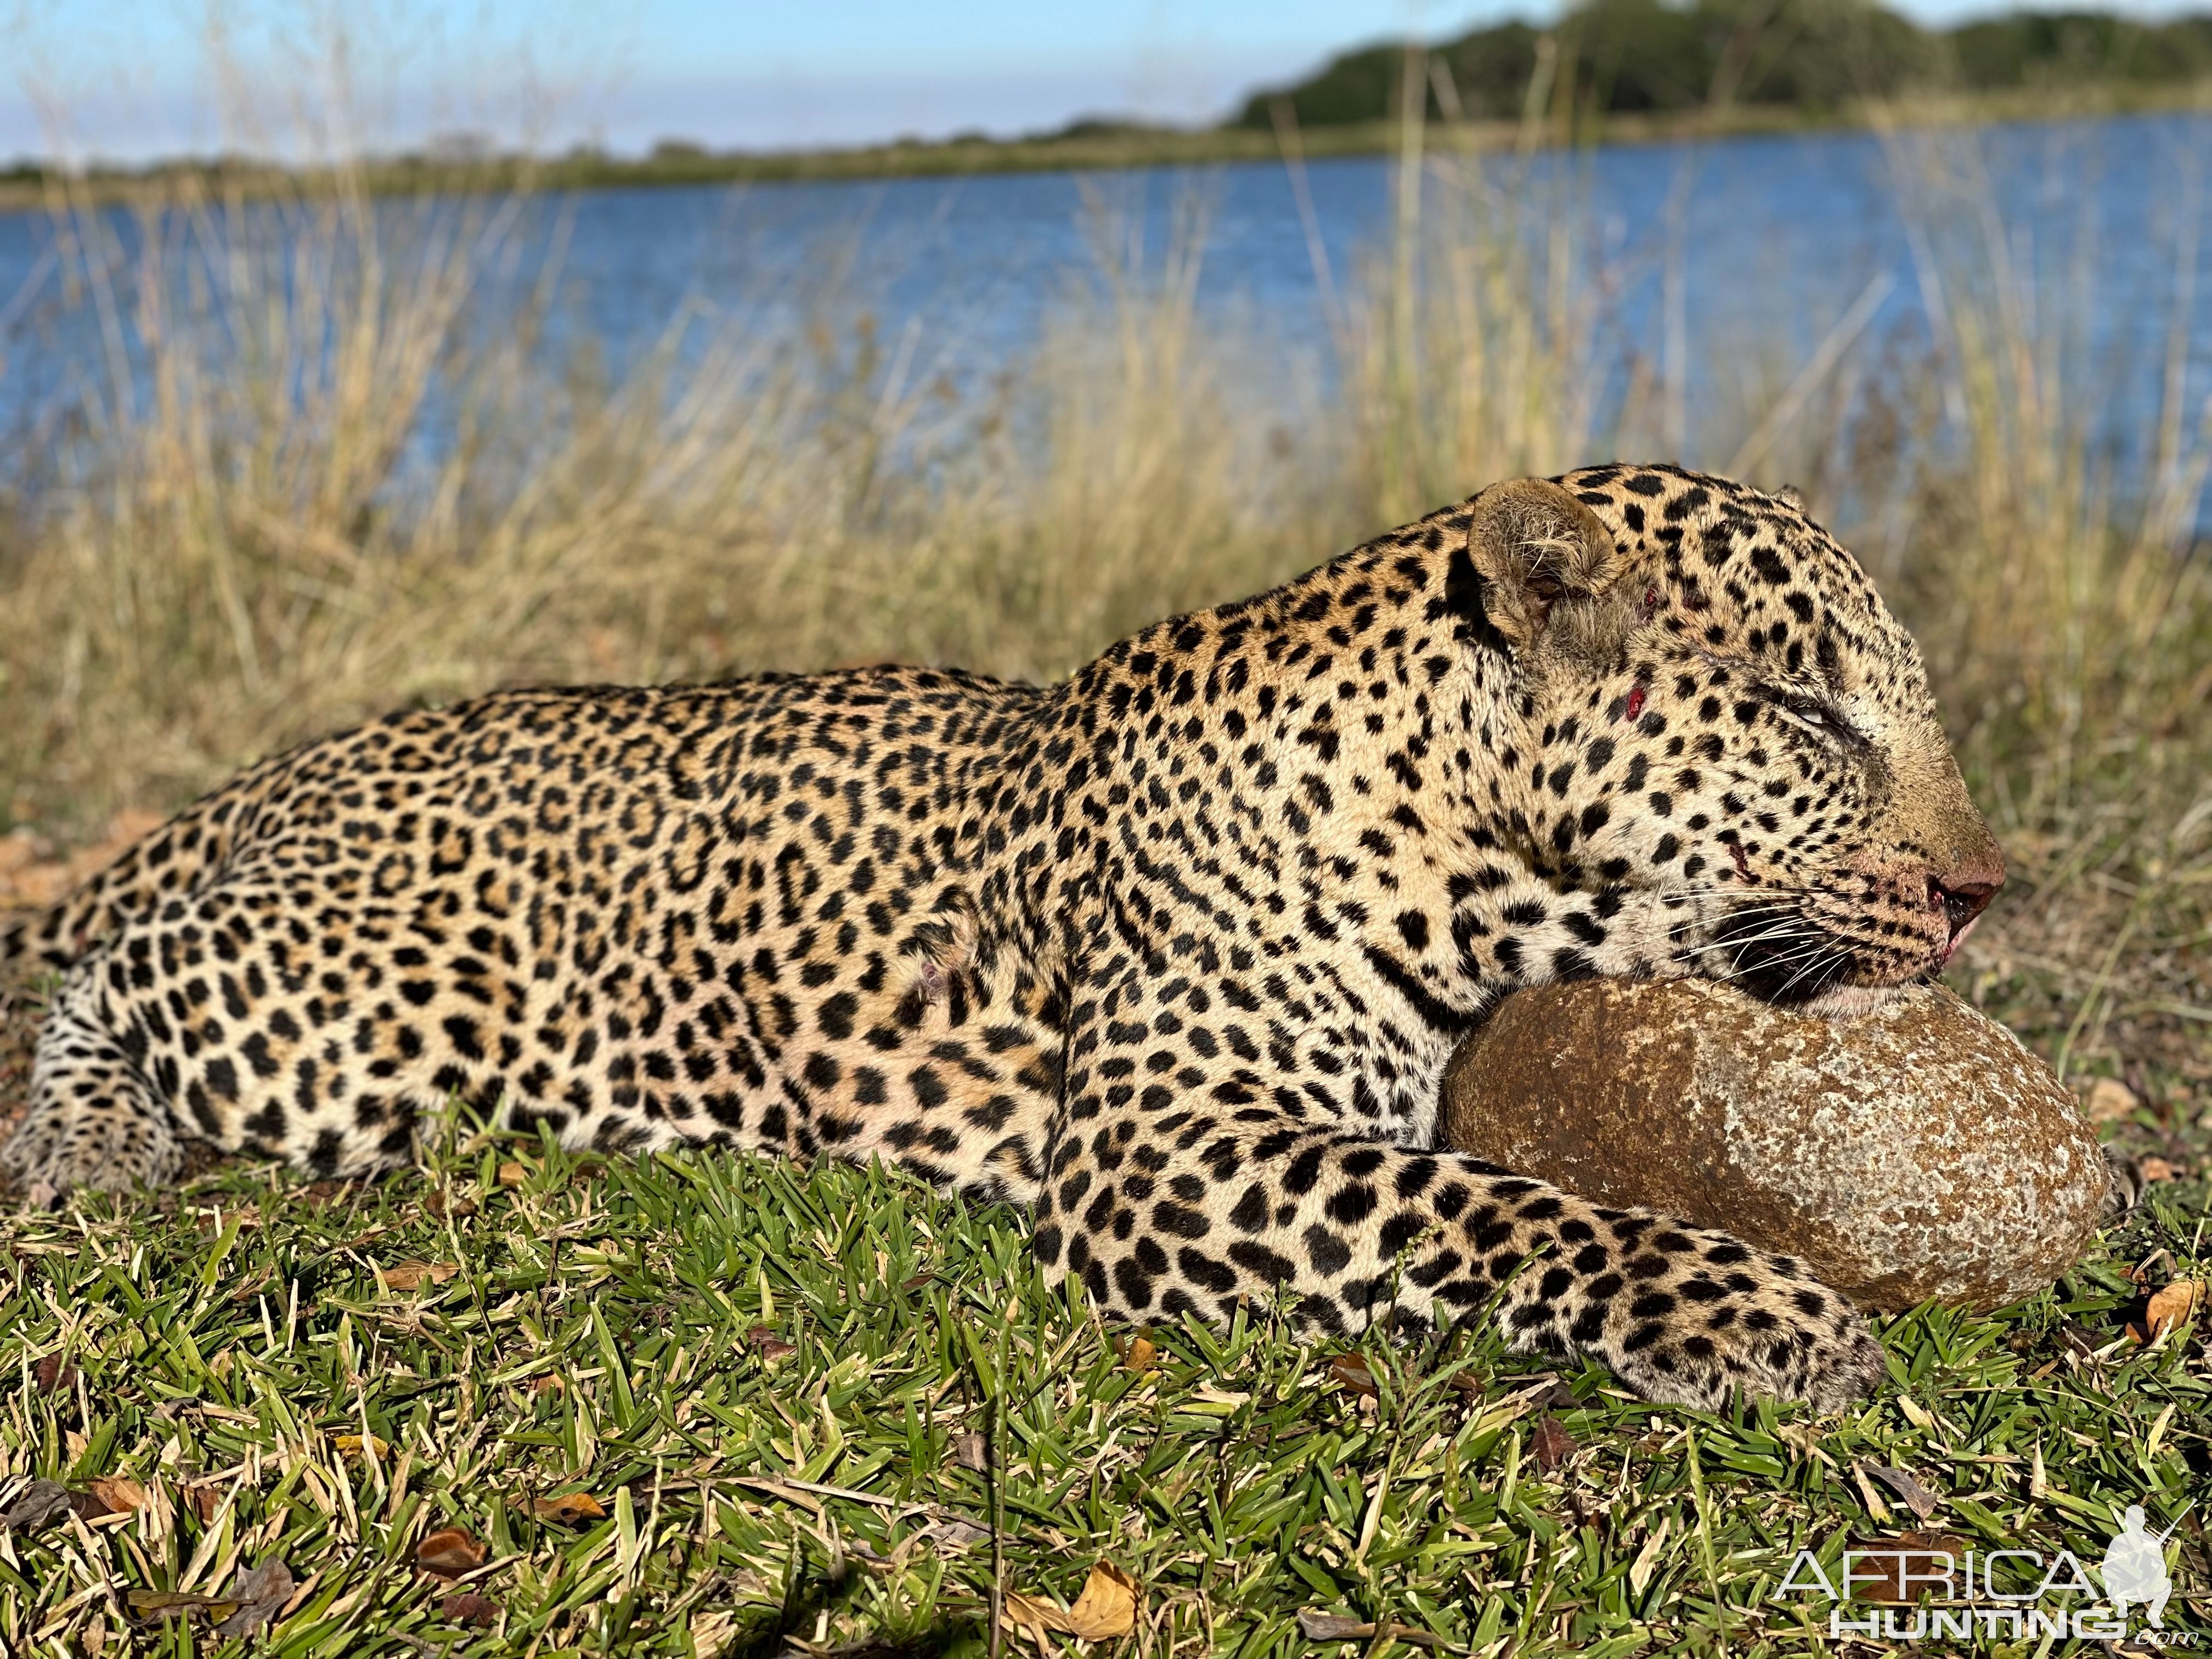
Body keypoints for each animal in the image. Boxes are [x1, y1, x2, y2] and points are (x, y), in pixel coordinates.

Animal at [0, 469, 2008, 1415]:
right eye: (1809, 711)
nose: (1985, 889)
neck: (1458, 841)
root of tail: (304, 757)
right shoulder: (1156, 1144)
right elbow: (1502, 1206)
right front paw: (1767, 1318)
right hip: (353, 1020)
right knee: (110, 968)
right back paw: (79, 1148)